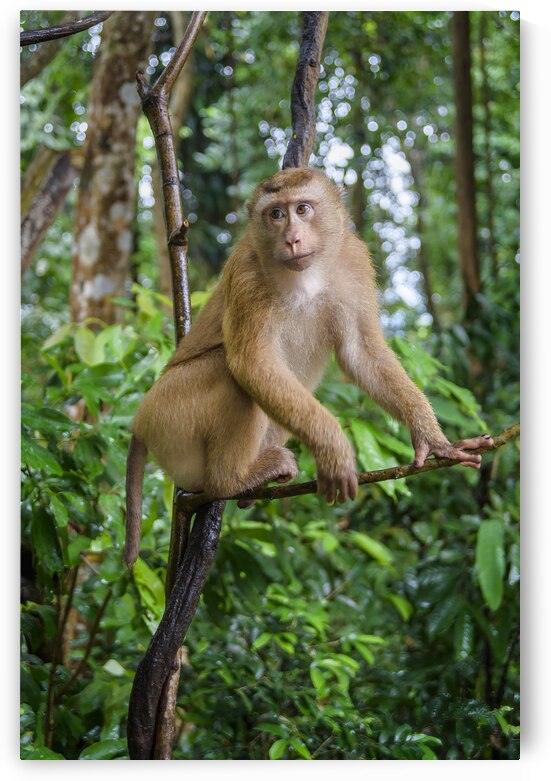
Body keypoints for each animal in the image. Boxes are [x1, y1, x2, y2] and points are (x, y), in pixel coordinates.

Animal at [124, 167, 493, 567]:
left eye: (302, 209)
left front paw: (433, 440)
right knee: (228, 373)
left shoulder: (354, 260)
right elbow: (251, 363)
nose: (292, 239)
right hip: (169, 416)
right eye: (276, 214)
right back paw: (232, 480)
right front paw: (334, 450)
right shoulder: (247, 269)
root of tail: (138, 422)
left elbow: (361, 353)